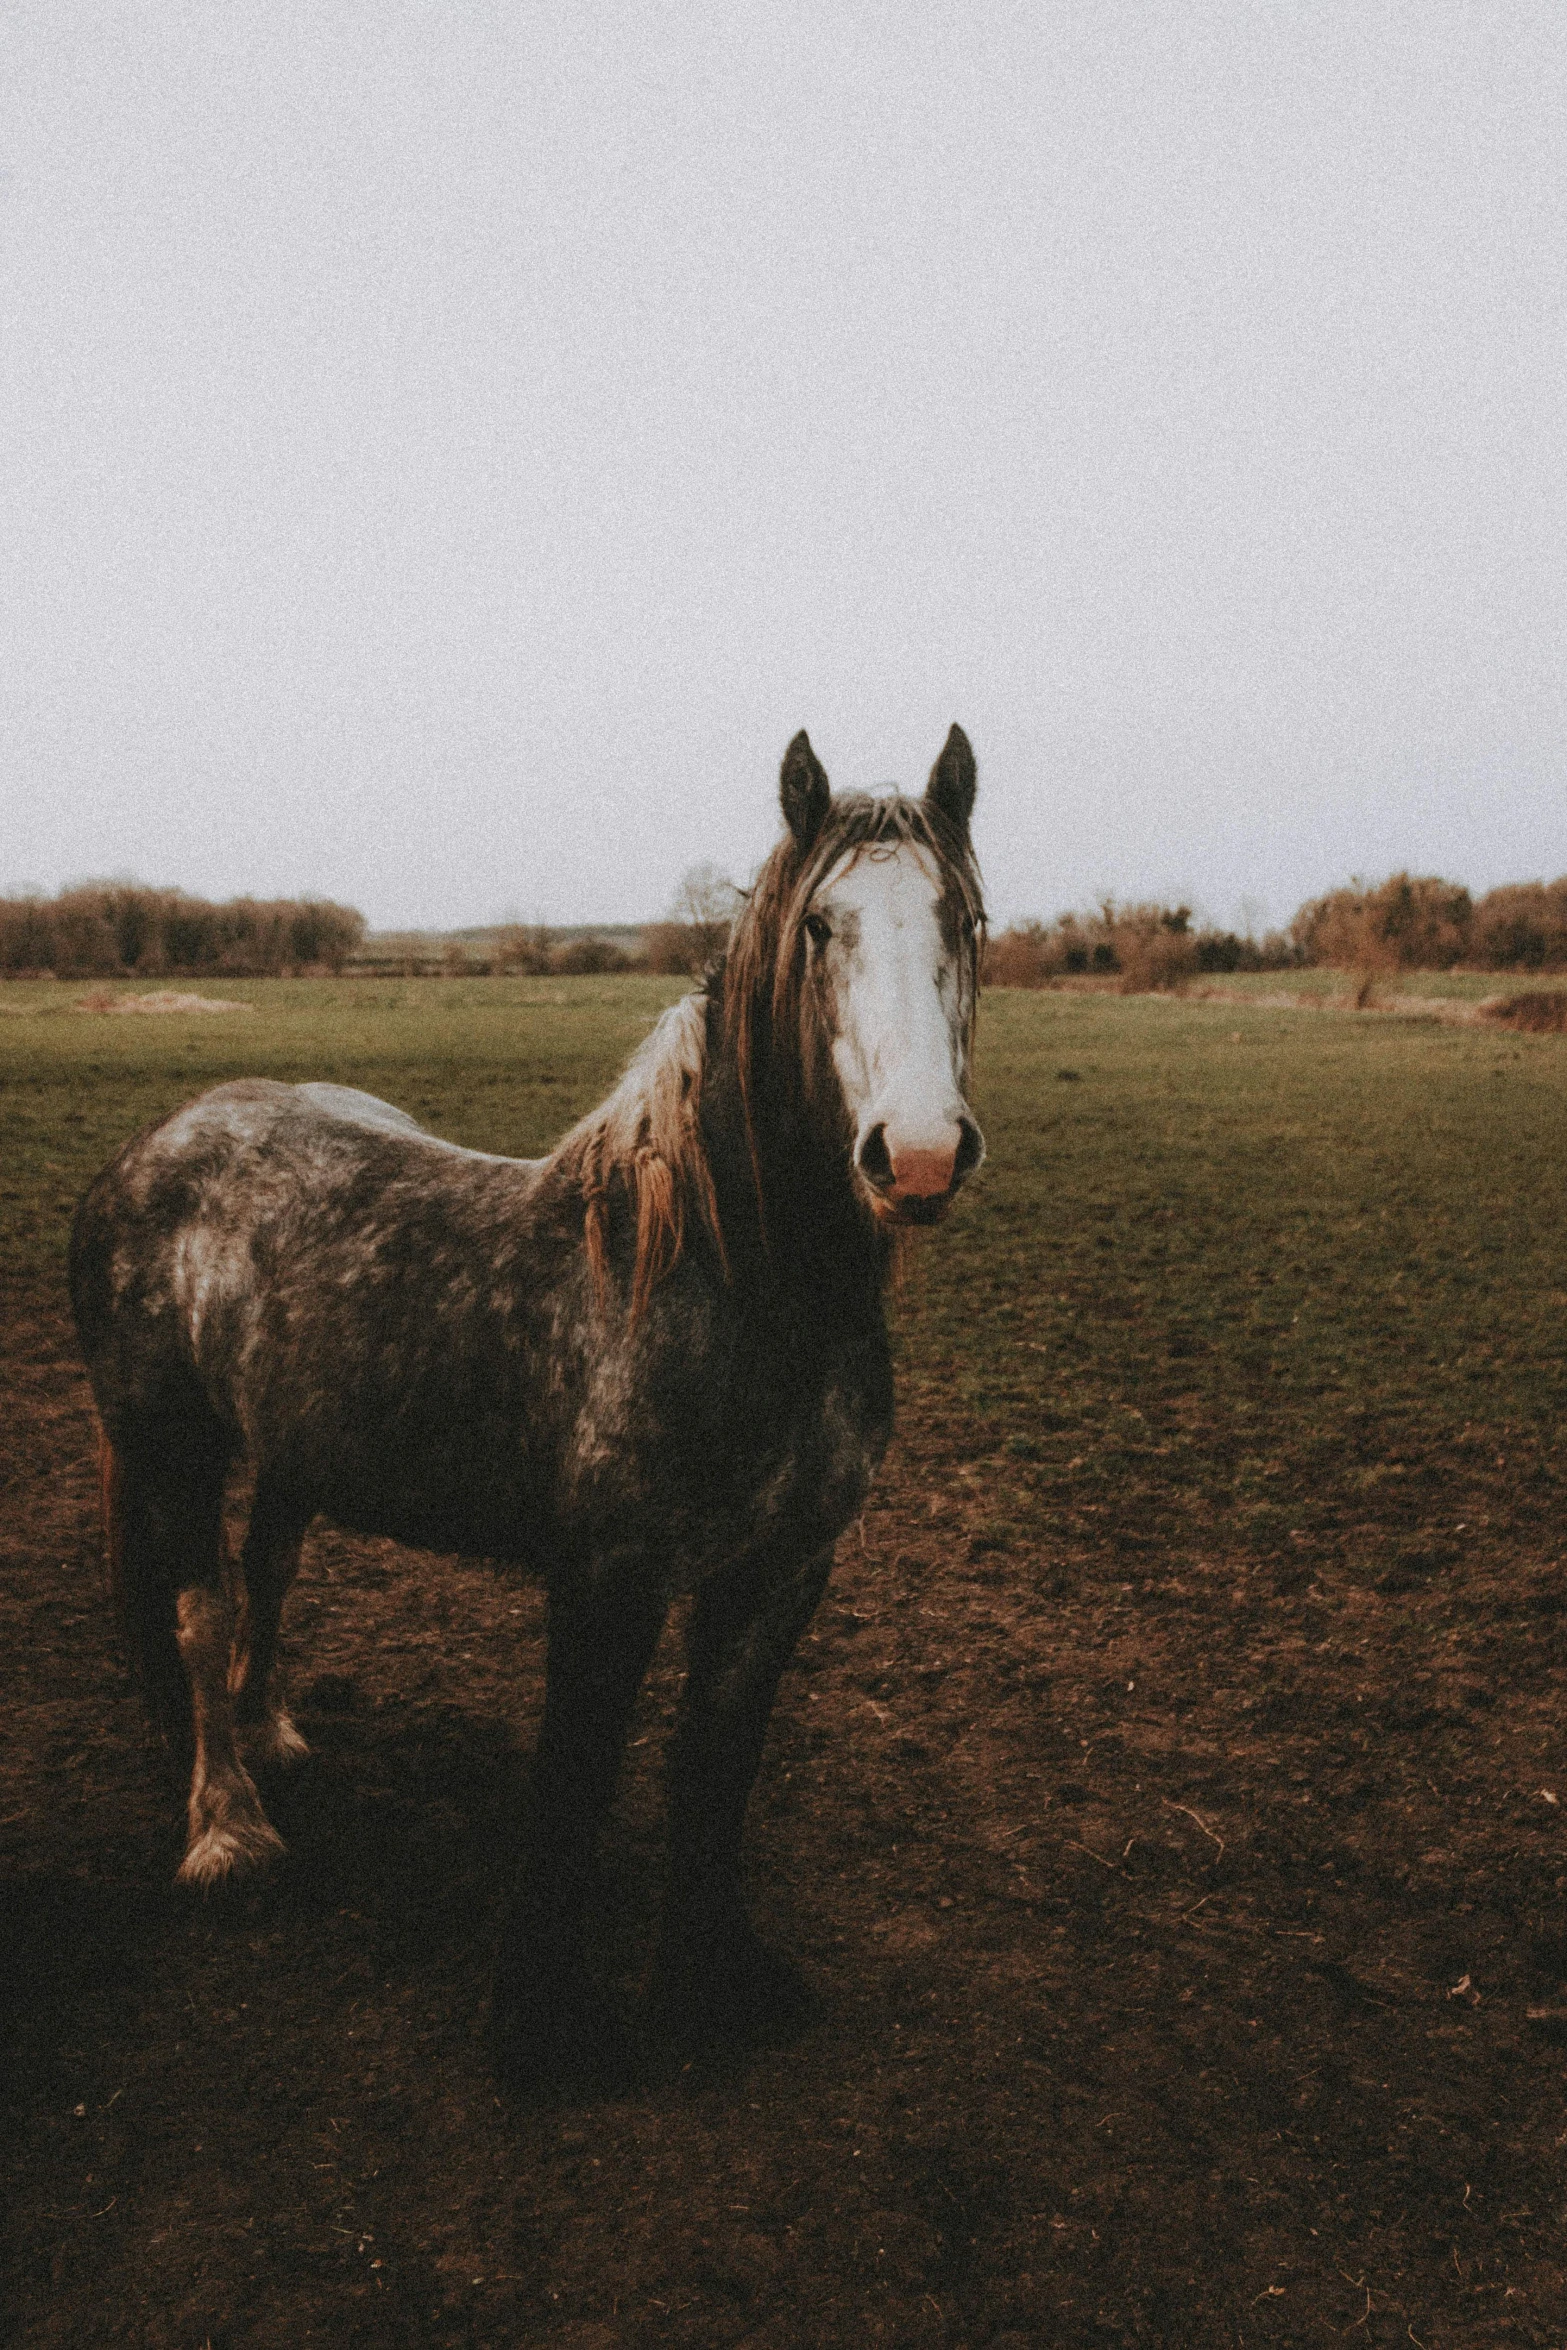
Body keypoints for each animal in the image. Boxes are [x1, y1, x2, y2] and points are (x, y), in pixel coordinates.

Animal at [73, 719, 986, 2077]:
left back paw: (270, 1729)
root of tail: (154, 1144)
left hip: (293, 1447)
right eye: (819, 927)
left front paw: (714, 1976)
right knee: (196, 1609)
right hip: (167, 1445)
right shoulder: (607, 1574)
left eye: (964, 920)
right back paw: (228, 1830)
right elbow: (581, 1768)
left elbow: (717, 1763)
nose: (917, 1153)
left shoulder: (781, 1571)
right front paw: (543, 2024)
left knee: (267, 1574)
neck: (727, 1279)